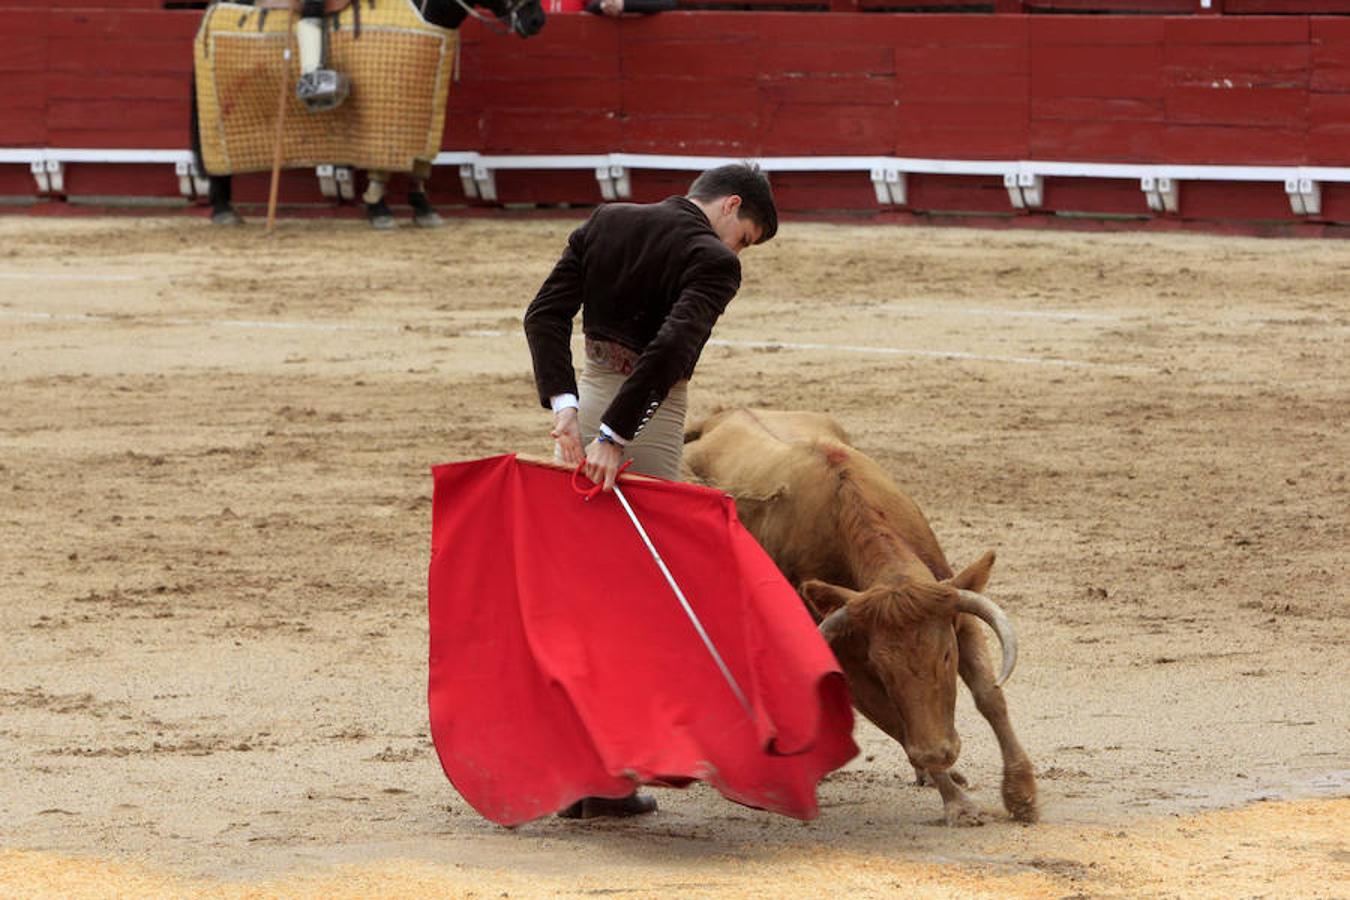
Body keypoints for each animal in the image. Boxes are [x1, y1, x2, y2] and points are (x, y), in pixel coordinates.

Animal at [691, 412, 1036, 825]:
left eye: (946, 656)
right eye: (881, 667)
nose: (938, 753)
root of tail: (720, 416)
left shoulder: (959, 612)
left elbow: (989, 696)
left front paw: (1021, 793)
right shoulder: (849, 661)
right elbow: (896, 722)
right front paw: (958, 804)